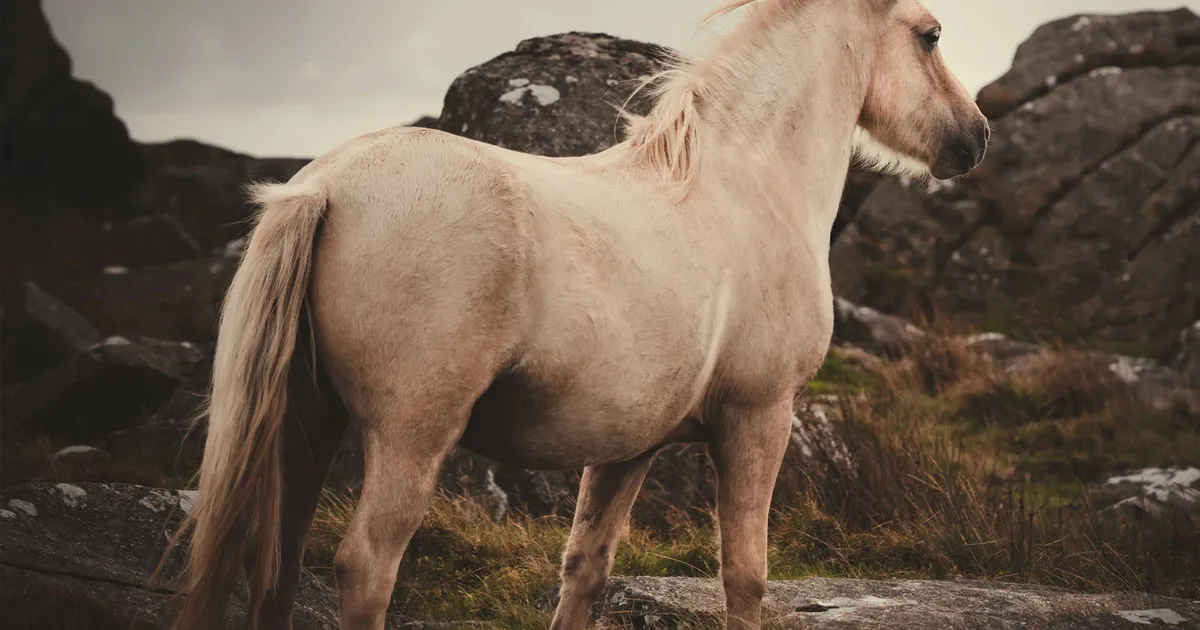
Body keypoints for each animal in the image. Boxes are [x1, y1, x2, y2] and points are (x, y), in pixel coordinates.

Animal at [167, 0, 988, 627]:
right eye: (930, 34)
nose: (974, 135)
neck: (746, 184)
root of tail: (326, 186)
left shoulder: (627, 448)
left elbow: (585, 570)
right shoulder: (759, 416)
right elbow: (746, 577)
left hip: (308, 422)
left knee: (280, 561)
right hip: (410, 435)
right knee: (366, 566)